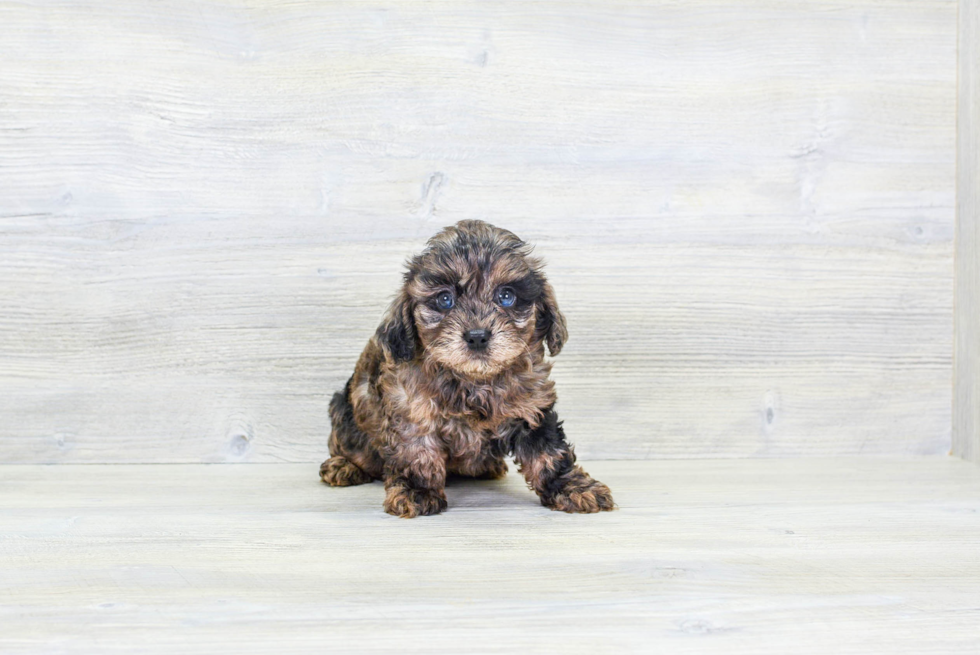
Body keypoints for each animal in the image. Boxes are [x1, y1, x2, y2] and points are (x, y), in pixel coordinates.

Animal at [322, 220, 612, 516]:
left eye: (506, 296)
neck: (475, 380)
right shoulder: (411, 407)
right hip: (344, 415)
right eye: (445, 300)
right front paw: (417, 490)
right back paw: (344, 466)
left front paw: (573, 487)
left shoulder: (533, 408)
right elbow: (416, 448)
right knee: (349, 446)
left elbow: (550, 453)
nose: (477, 336)